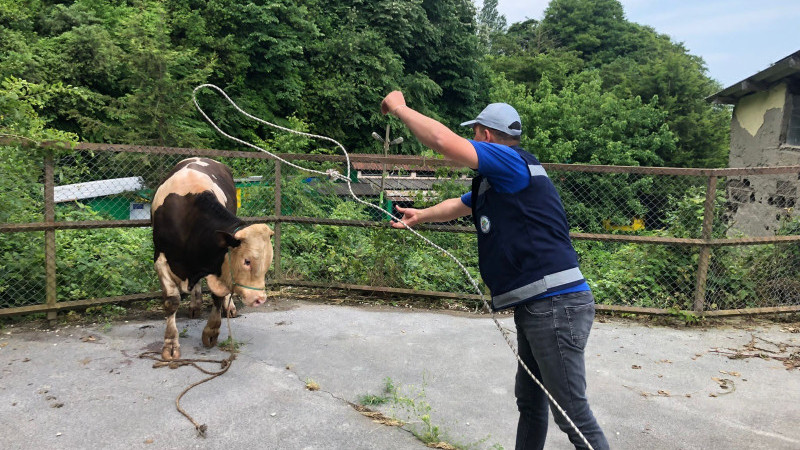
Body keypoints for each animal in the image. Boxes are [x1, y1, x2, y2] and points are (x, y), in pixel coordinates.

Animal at [152, 156, 274, 360]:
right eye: (247, 261)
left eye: (267, 263)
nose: (260, 299)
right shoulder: (161, 260)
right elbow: (172, 301)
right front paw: (170, 344)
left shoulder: (217, 264)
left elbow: (218, 295)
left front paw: (211, 331)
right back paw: (195, 304)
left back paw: (228, 307)